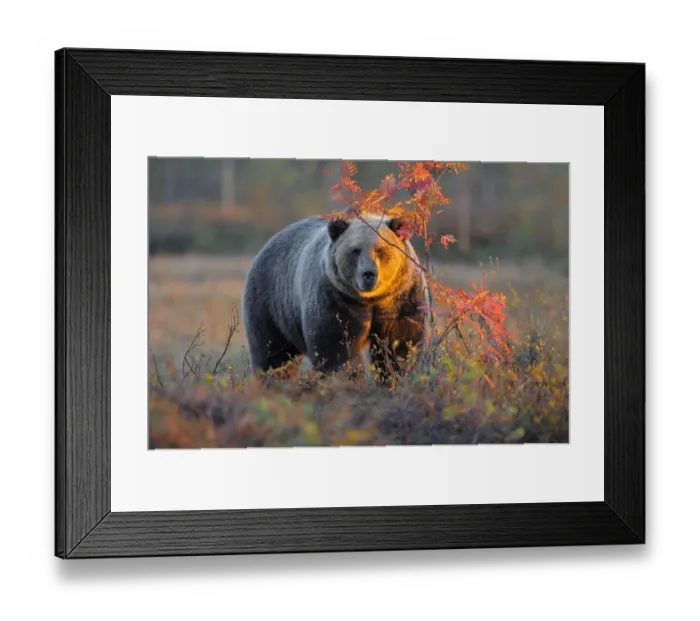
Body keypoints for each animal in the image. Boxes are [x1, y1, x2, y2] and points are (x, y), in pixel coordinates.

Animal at [241, 213, 429, 380]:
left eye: (380, 250)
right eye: (355, 250)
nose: (368, 274)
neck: (371, 300)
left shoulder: (401, 298)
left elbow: (400, 342)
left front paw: (393, 376)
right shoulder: (336, 298)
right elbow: (336, 345)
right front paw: (347, 377)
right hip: (271, 302)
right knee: (272, 351)